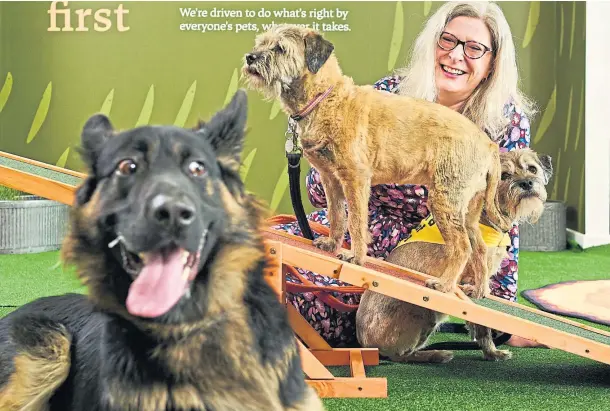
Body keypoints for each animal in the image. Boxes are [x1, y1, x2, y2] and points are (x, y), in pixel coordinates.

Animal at [242, 24, 512, 298]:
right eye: (262, 43)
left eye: (280, 48)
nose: (250, 57)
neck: (327, 97)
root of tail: (488, 145)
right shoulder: (331, 181)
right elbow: (337, 216)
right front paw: (331, 244)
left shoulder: (356, 179)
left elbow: (356, 221)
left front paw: (356, 257)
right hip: (468, 212)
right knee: (480, 248)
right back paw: (478, 290)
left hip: (445, 201)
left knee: (462, 247)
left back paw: (444, 285)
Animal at [356, 148, 552, 364]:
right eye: (504, 175)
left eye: (532, 169)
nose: (527, 183)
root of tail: (366, 344)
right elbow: (482, 323)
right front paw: (492, 352)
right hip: (424, 312)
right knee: (401, 356)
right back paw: (436, 354)